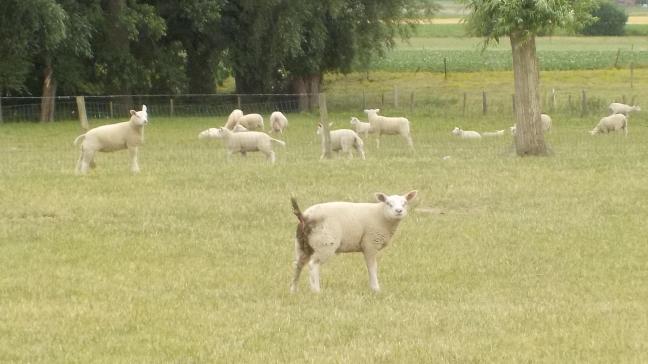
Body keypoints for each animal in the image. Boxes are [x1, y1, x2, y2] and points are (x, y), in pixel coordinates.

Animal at [290, 191, 420, 292]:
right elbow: (372, 267)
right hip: (325, 243)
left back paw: (294, 290)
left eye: (405, 203)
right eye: (389, 203)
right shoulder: (370, 243)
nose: (399, 211)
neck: (381, 215)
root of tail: (305, 217)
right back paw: (316, 291)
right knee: (313, 265)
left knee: (298, 264)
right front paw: (375, 289)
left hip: (302, 244)